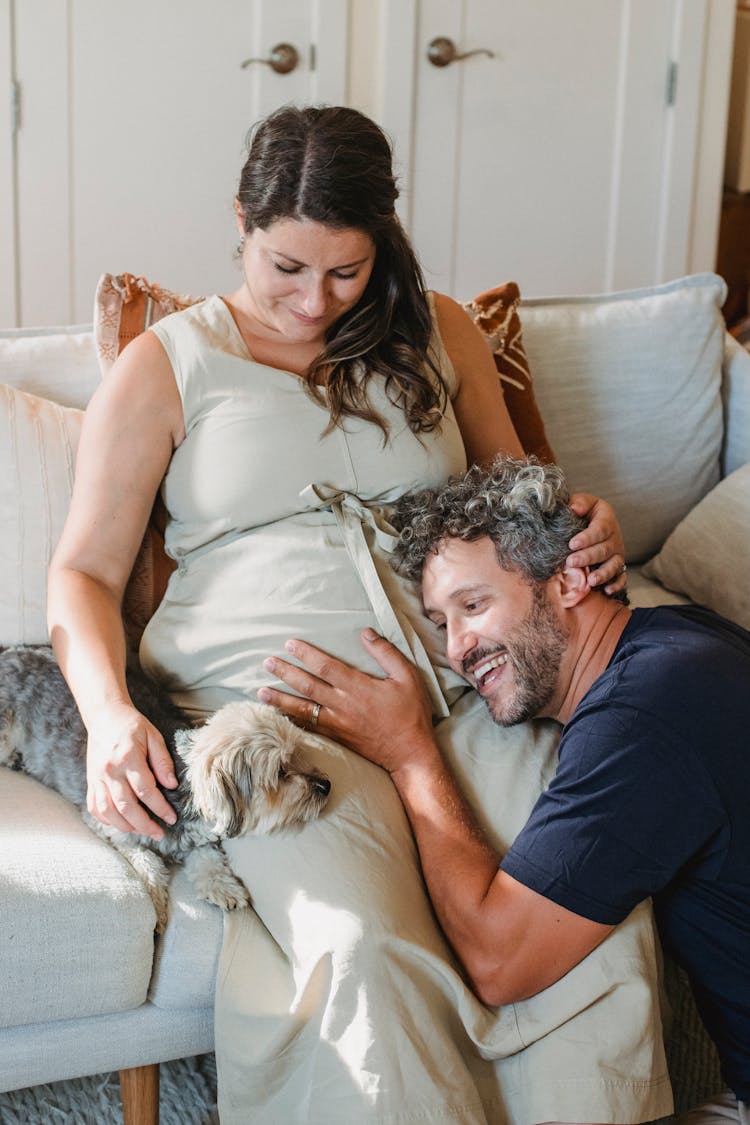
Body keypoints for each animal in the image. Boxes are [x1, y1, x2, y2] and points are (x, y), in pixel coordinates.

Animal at [0, 648, 330, 936]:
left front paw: (222, 887)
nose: (327, 786)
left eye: (299, 753)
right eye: (281, 772)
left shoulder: (202, 839)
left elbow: (208, 859)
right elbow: (149, 864)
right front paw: (157, 910)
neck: (186, 786)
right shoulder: (112, 822)